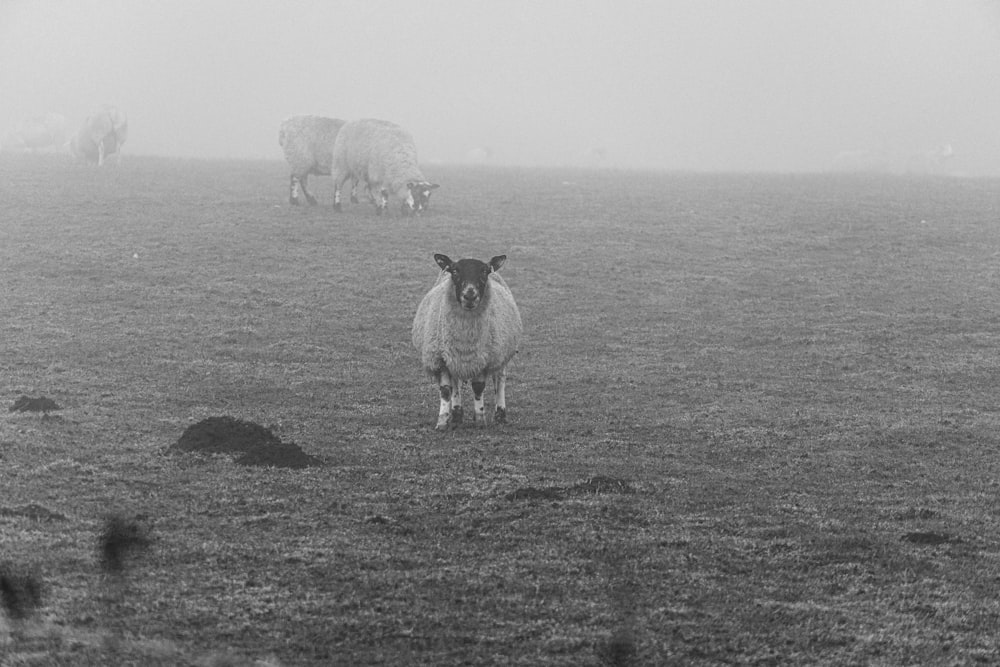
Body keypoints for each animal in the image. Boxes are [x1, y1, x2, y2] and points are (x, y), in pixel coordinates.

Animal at [412, 253, 524, 430]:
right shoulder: (440, 358)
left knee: (499, 380)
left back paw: (500, 414)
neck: (465, 338)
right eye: (455, 271)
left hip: (502, 352)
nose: (470, 294)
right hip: (453, 358)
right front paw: (442, 421)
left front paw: (480, 419)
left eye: (484, 271)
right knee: (455, 383)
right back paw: (457, 414)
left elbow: (478, 388)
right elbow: (446, 390)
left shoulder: (484, 358)